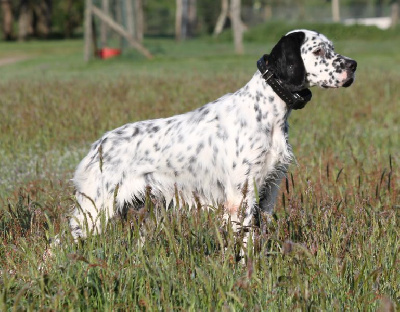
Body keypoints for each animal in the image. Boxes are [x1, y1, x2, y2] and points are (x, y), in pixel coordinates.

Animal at [69, 28, 356, 239]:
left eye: (332, 48)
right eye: (318, 50)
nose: (353, 65)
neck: (267, 112)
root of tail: (98, 146)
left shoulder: (268, 191)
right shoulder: (240, 197)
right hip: (94, 212)